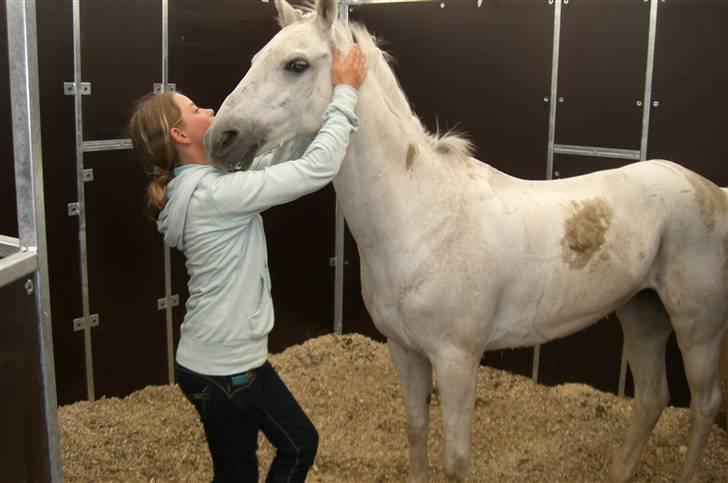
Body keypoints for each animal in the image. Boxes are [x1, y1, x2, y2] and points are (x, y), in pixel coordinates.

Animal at [203, 1, 728, 482]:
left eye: (296, 64)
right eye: (256, 58)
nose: (219, 139)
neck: (422, 221)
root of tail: (712, 190)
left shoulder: (458, 361)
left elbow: (455, 462)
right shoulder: (405, 350)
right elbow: (416, 431)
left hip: (696, 326)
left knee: (703, 403)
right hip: (642, 313)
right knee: (652, 398)